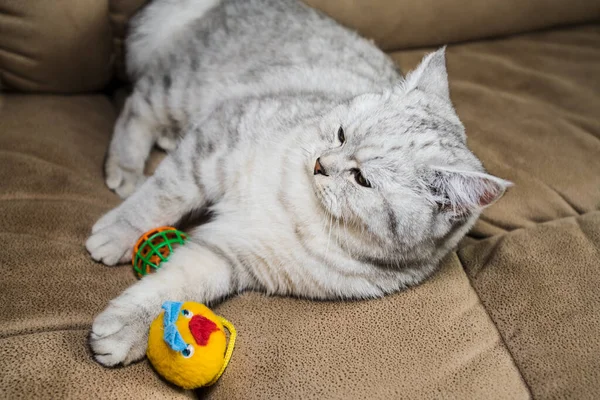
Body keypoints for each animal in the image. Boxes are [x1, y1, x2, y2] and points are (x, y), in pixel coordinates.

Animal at [86, 0, 508, 368]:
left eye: (362, 179)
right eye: (340, 134)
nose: (320, 164)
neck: (302, 208)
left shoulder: (232, 253)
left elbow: (177, 285)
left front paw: (128, 329)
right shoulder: (215, 143)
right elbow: (161, 197)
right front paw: (117, 234)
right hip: (181, 87)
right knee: (136, 106)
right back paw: (126, 167)